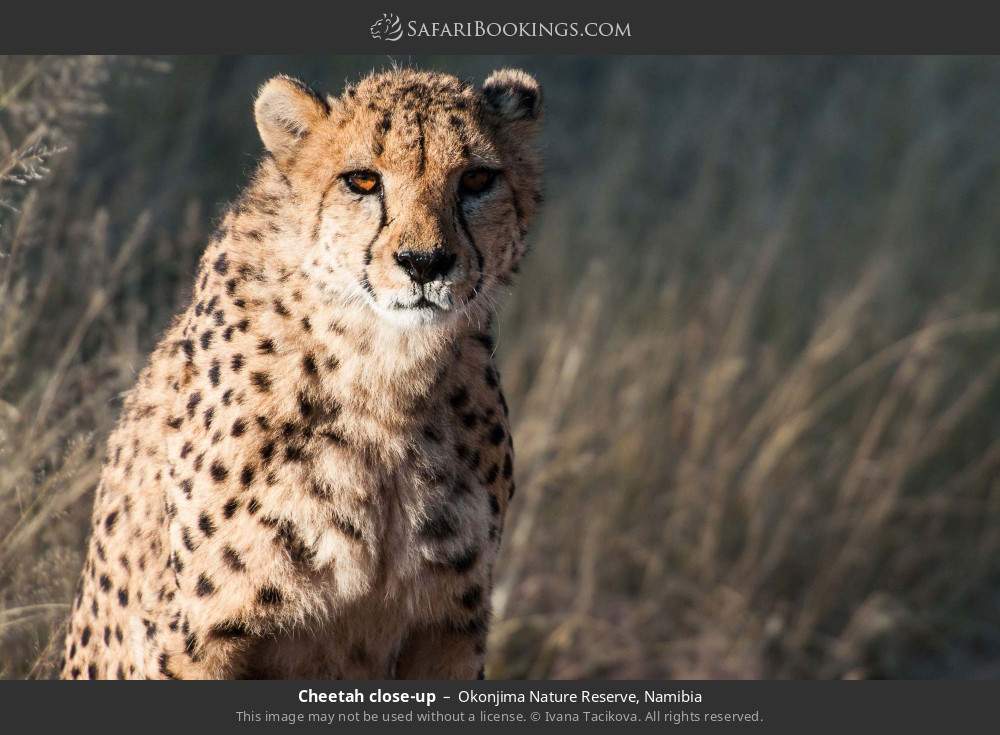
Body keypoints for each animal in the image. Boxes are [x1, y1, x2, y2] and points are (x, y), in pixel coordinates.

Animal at [58, 67, 544, 680]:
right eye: (362, 181)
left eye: (478, 178)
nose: (424, 263)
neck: (386, 377)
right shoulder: (197, 634)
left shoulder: (448, 625)